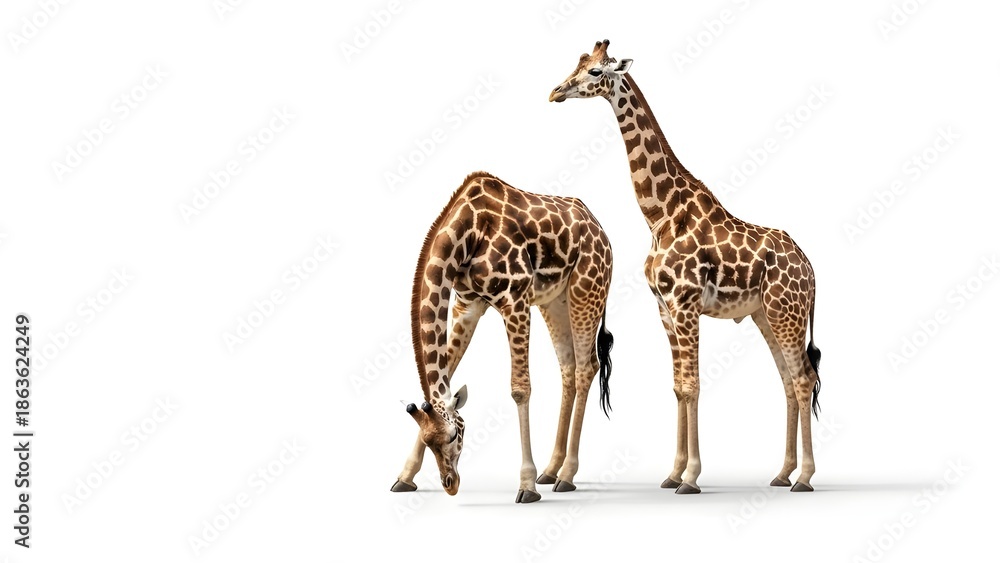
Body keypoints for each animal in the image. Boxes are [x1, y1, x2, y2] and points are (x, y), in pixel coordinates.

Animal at [389, 171, 615, 503]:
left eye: (455, 435)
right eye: (429, 441)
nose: (450, 484)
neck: (468, 232)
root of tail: (600, 229)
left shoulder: (515, 301)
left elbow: (520, 389)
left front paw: (526, 486)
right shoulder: (467, 305)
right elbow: (446, 375)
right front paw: (405, 476)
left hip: (586, 291)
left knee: (588, 367)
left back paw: (567, 475)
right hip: (554, 301)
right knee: (569, 367)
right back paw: (552, 470)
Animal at [549, 40, 822, 493]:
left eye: (595, 72)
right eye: (577, 64)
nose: (555, 92)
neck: (659, 214)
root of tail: (811, 269)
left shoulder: (686, 302)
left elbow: (692, 385)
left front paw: (691, 477)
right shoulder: (664, 308)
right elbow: (679, 387)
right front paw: (674, 472)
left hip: (788, 312)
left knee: (803, 379)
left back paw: (804, 476)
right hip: (766, 315)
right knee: (788, 379)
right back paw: (783, 472)